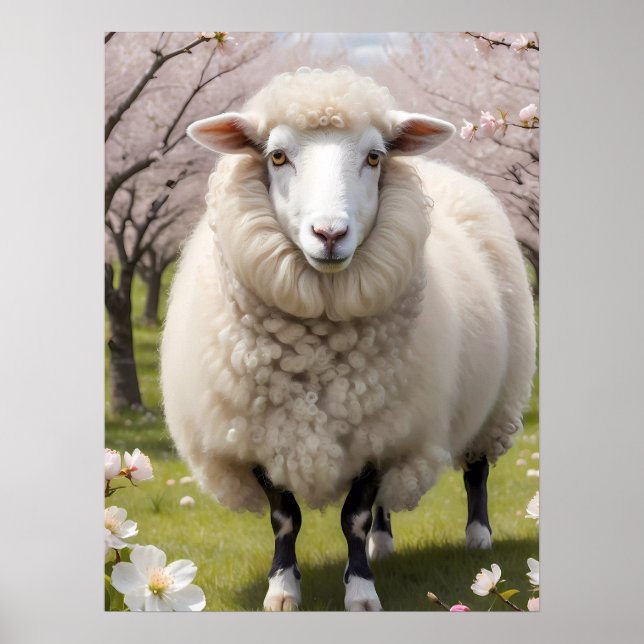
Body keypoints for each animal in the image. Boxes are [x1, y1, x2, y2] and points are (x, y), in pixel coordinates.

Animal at [160, 67, 536, 612]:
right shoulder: (261, 432)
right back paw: (384, 544)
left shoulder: (382, 428)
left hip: (496, 399)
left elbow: (352, 516)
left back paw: (477, 538)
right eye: (277, 156)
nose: (330, 234)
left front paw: (360, 592)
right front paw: (283, 588)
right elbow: (286, 518)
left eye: (374, 157)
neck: (318, 342)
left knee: (477, 471)